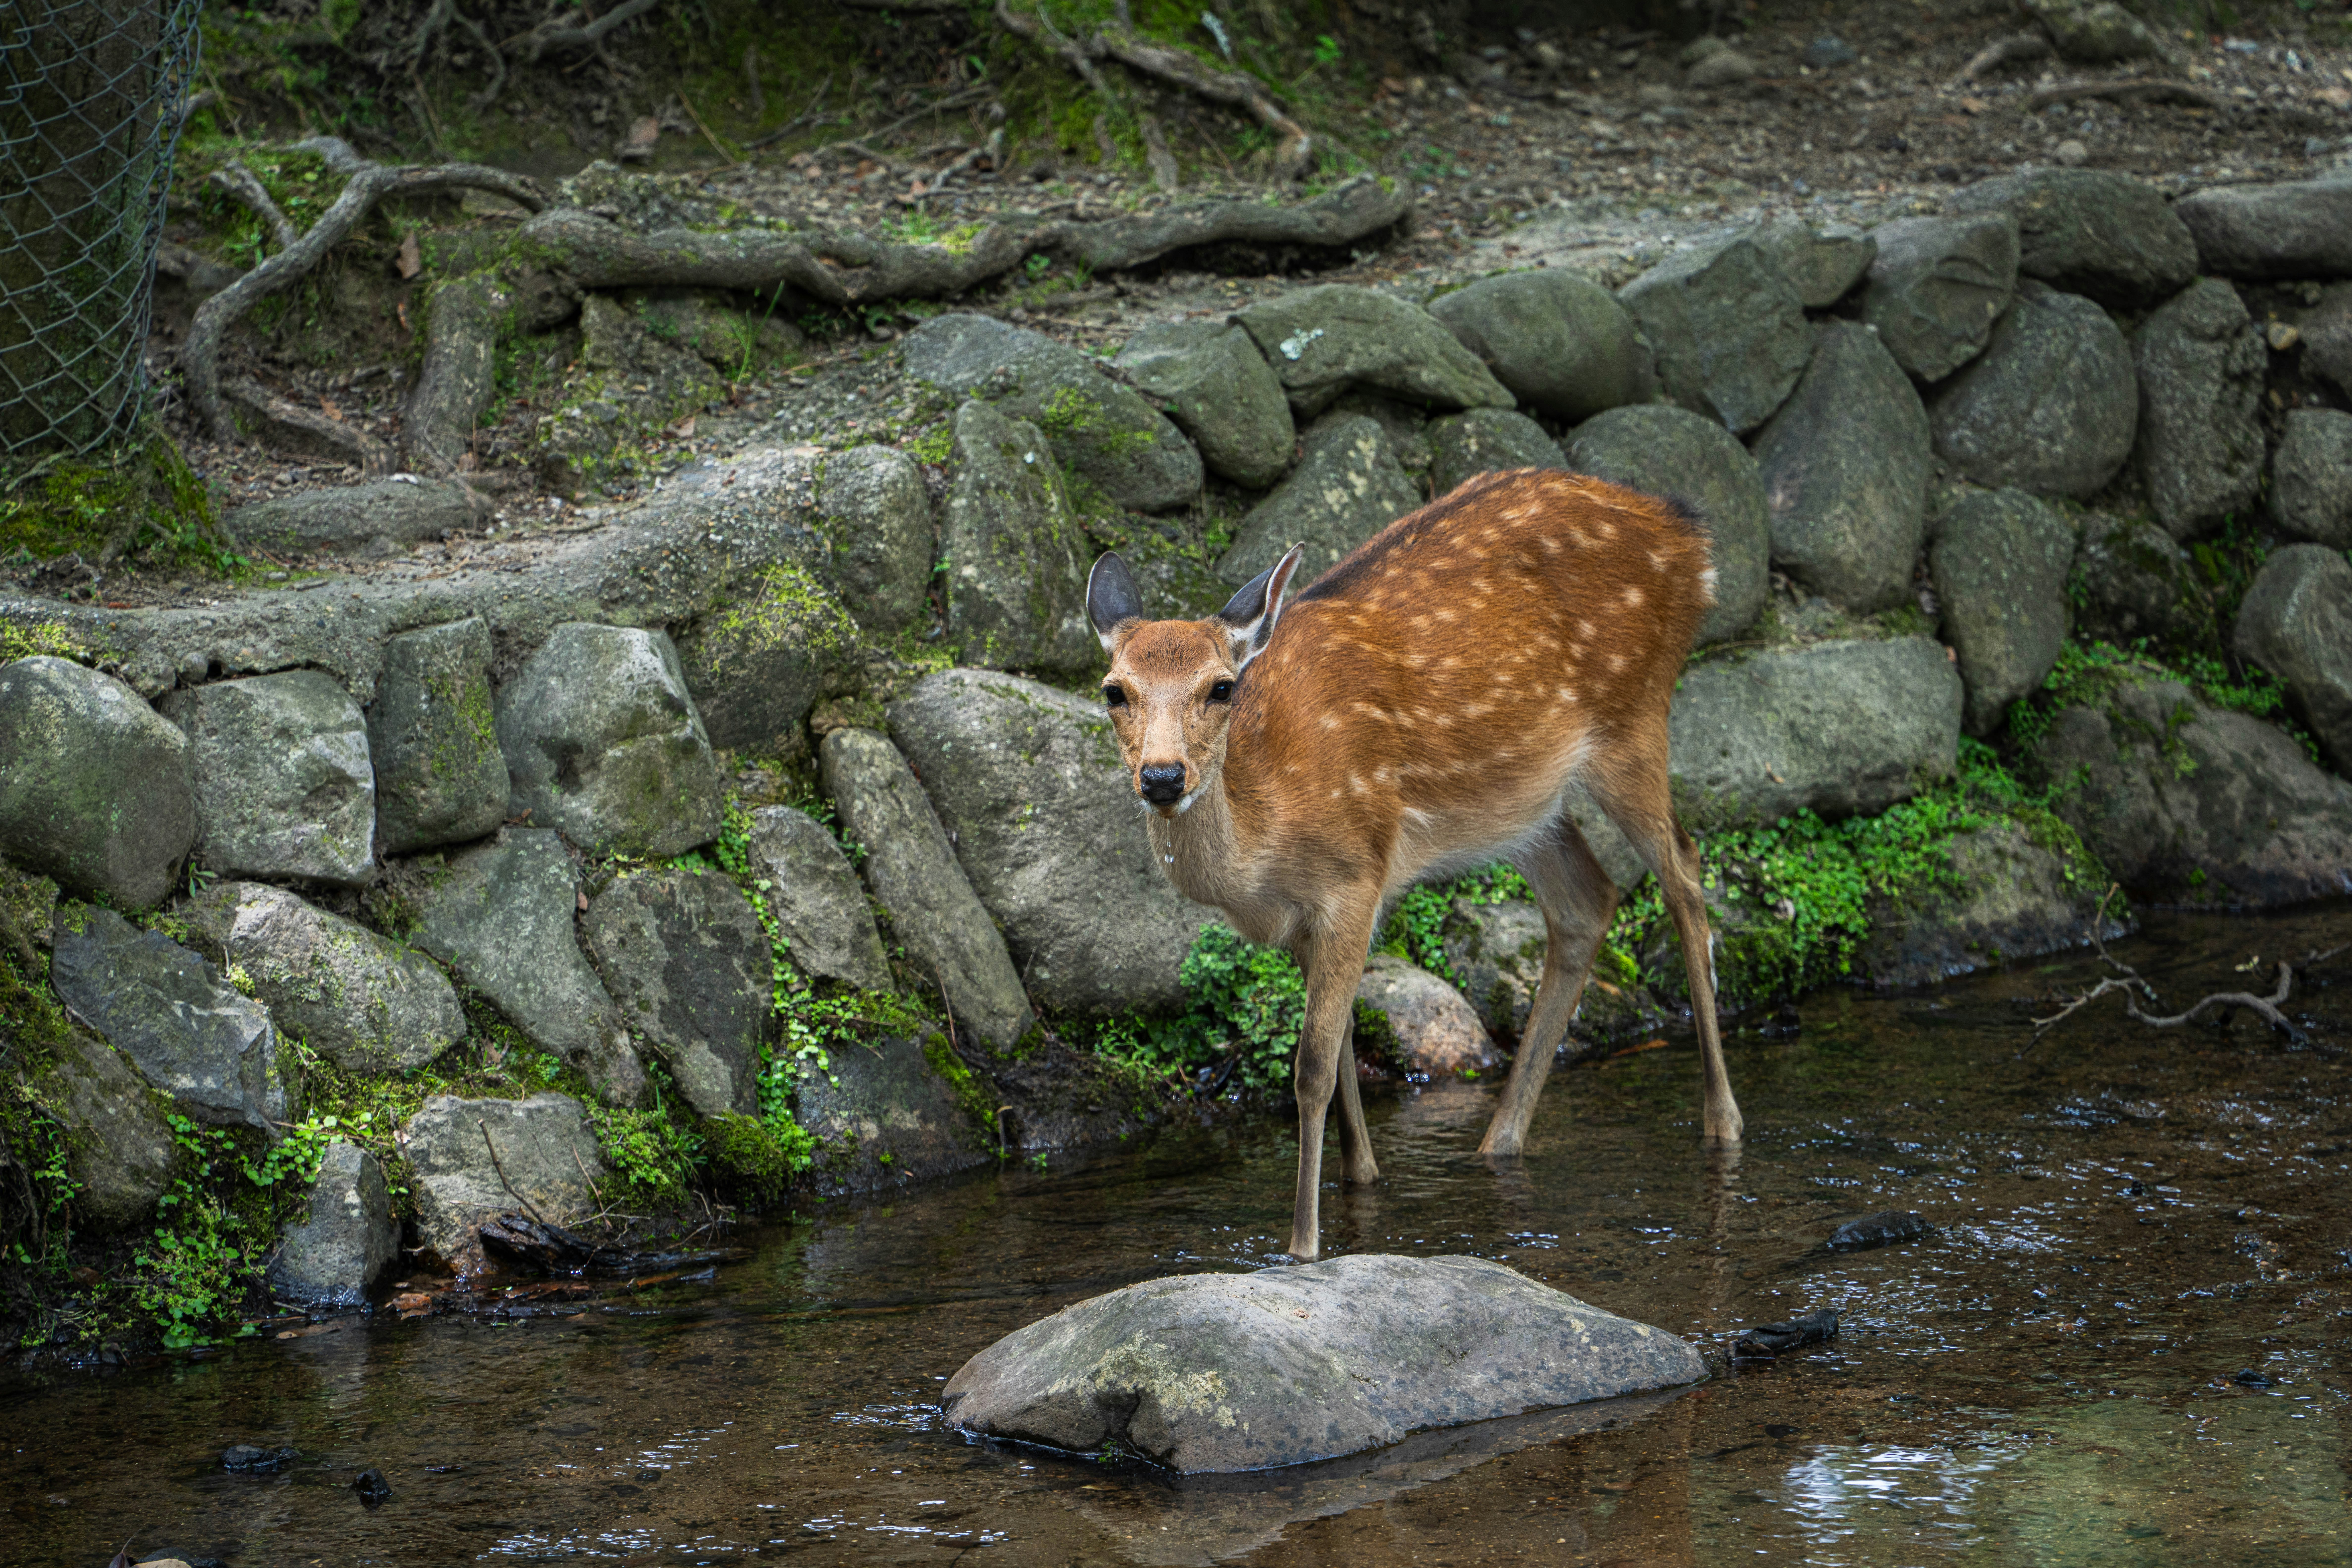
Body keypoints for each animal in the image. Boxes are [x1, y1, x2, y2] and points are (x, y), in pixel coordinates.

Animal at [1085, 466, 1741, 1262]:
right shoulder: (1308, 919)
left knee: (1685, 874)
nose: (1161, 777)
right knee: (1588, 899)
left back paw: (1722, 1125)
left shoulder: (1355, 875)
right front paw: (1362, 1182)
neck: (1264, 850)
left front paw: (1303, 1246)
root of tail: (1690, 537)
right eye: (1114, 690)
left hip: (1634, 716)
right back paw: (1498, 1142)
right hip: (1527, 801)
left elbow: (1311, 1068)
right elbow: (1340, 1056)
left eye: (1221, 686)